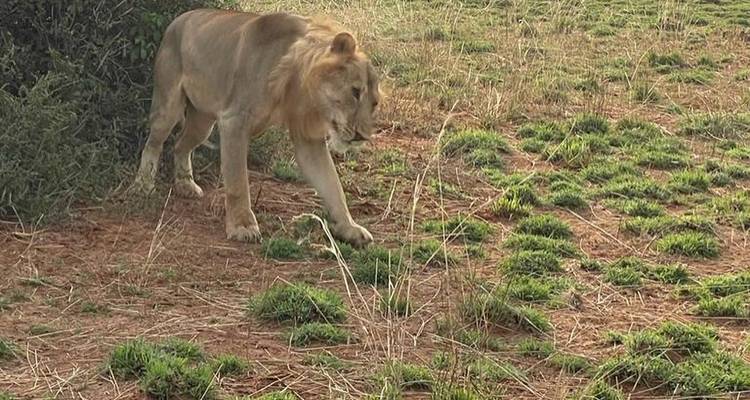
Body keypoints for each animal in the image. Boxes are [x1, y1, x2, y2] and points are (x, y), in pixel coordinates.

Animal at [131, 9, 381, 247]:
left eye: (374, 103)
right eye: (355, 92)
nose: (362, 136)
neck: (298, 84)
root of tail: (179, 19)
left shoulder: (308, 139)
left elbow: (332, 185)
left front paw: (350, 228)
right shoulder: (234, 121)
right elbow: (238, 182)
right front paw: (242, 226)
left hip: (202, 122)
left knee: (180, 145)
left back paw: (186, 185)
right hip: (168, 106)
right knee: (153, 144)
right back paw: (143, 185)